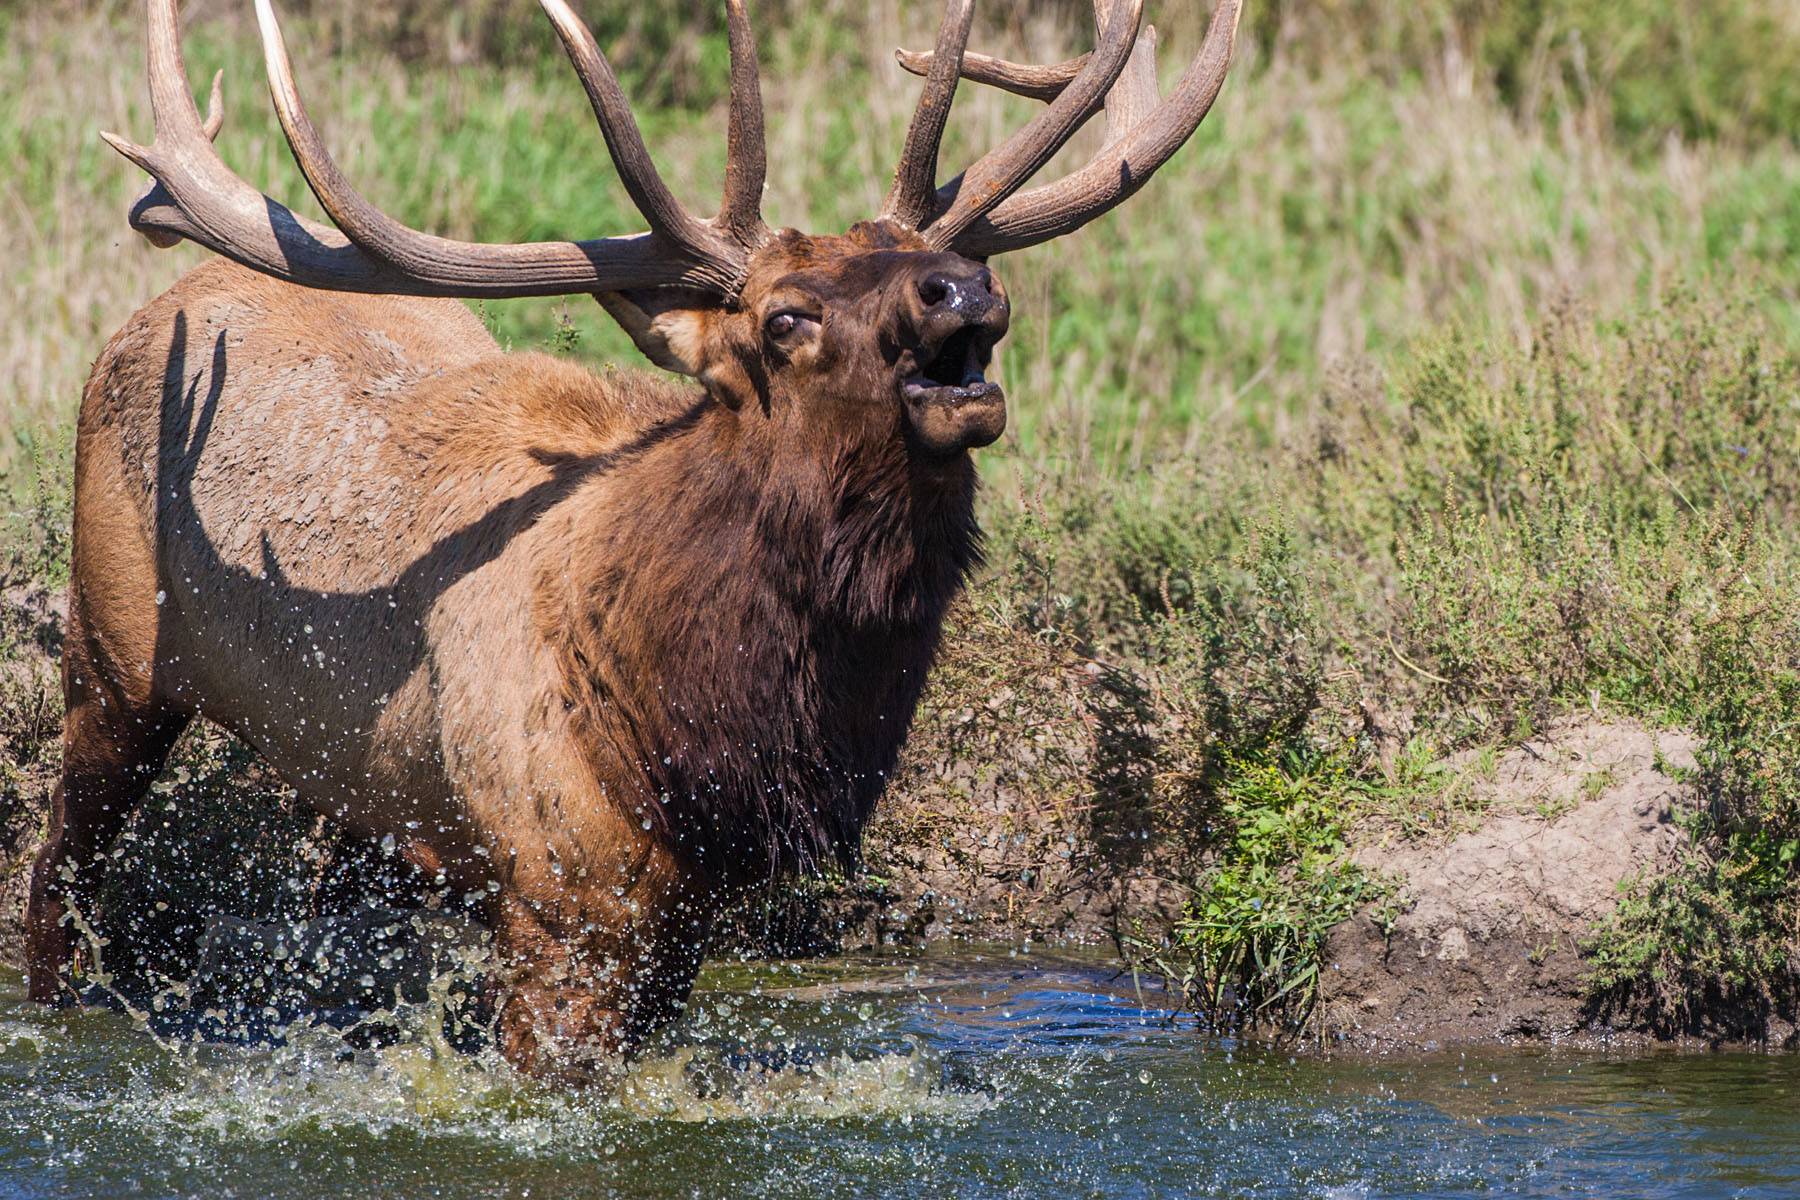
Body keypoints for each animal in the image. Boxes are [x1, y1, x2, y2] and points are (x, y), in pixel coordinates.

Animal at [28, 0, 1238, 1079]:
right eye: (784, 318)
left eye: (919, 253)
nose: (962, 288)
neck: (690, 735)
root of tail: (156, 307)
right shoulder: (559, 897)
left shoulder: (682, 917)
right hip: (114, 655)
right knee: (56, 875)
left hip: (356, 787)